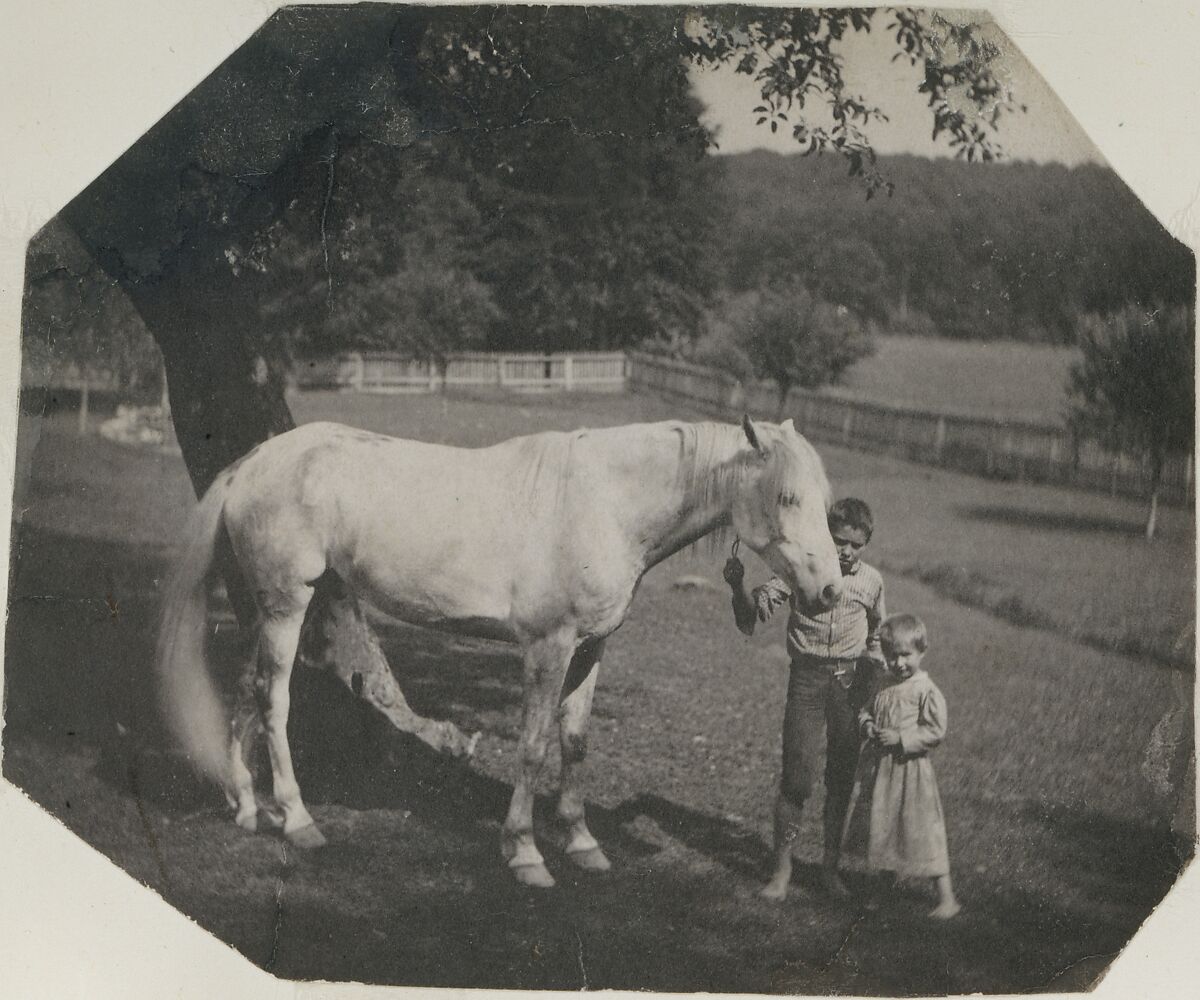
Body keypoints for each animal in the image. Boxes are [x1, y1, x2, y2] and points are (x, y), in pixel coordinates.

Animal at [154, 417, 840, 883]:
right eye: (787, 498)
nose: (831, 590)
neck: (603, 504)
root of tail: (253, 462)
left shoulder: (590, 650)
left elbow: (574, 743)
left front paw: (584, 844)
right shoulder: (547, 649)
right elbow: (533, 746)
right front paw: (526, 853)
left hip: (268, 608)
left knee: (246, 691)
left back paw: (247, 807)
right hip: (287, 605)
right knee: (274, 701)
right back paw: (297, 820)